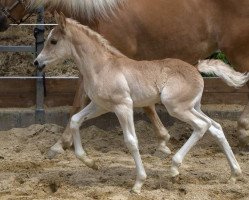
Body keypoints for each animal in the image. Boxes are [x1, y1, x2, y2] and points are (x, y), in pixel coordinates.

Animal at [34, 13, 242, 192]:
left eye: (53, 41)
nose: (37, 62)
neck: (102, 67)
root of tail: (196, 68)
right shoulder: (101, 106)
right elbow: (76, 120)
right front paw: (90, 163)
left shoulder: (123, 106)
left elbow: (131, 141)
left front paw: (138, 183)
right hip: (192, 106)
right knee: (215, 127)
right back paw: (234, 174)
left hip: (176, 107)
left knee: (201, 125)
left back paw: (175, 168)